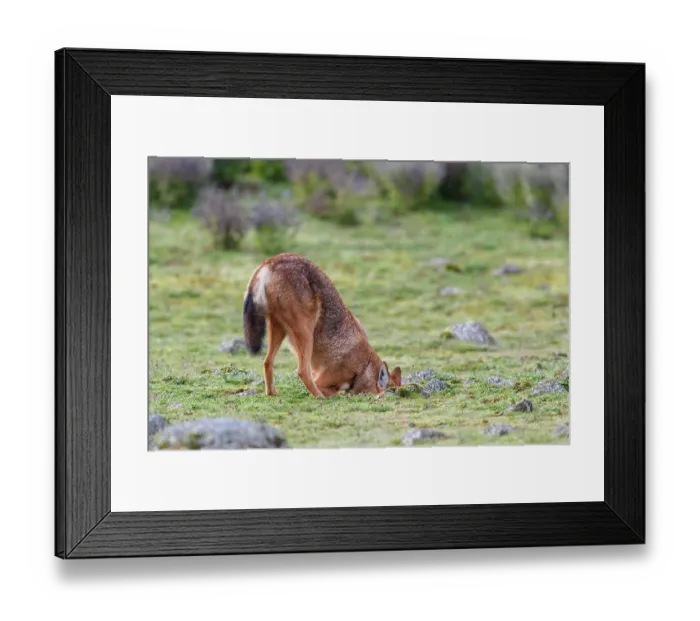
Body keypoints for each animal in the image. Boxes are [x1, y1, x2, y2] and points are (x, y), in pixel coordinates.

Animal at [243, 253, 401, 397]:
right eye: (391, 393)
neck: (364, 365)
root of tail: (271, 261)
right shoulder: (323, 380)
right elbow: (335, 391)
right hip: (306, 332)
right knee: (302, 371)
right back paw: (319, 397)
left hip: (279, 329)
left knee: (267, 362)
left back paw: (272, 393)